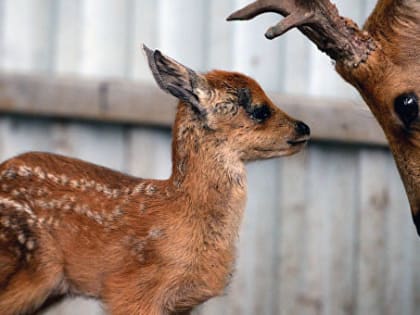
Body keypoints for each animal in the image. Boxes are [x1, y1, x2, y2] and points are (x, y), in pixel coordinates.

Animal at [0, 45, 310, 315]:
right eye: (259, 109)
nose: (304, 127)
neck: (181, 211)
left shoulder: (181, 304)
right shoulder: (131, 291)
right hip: (30, 266)